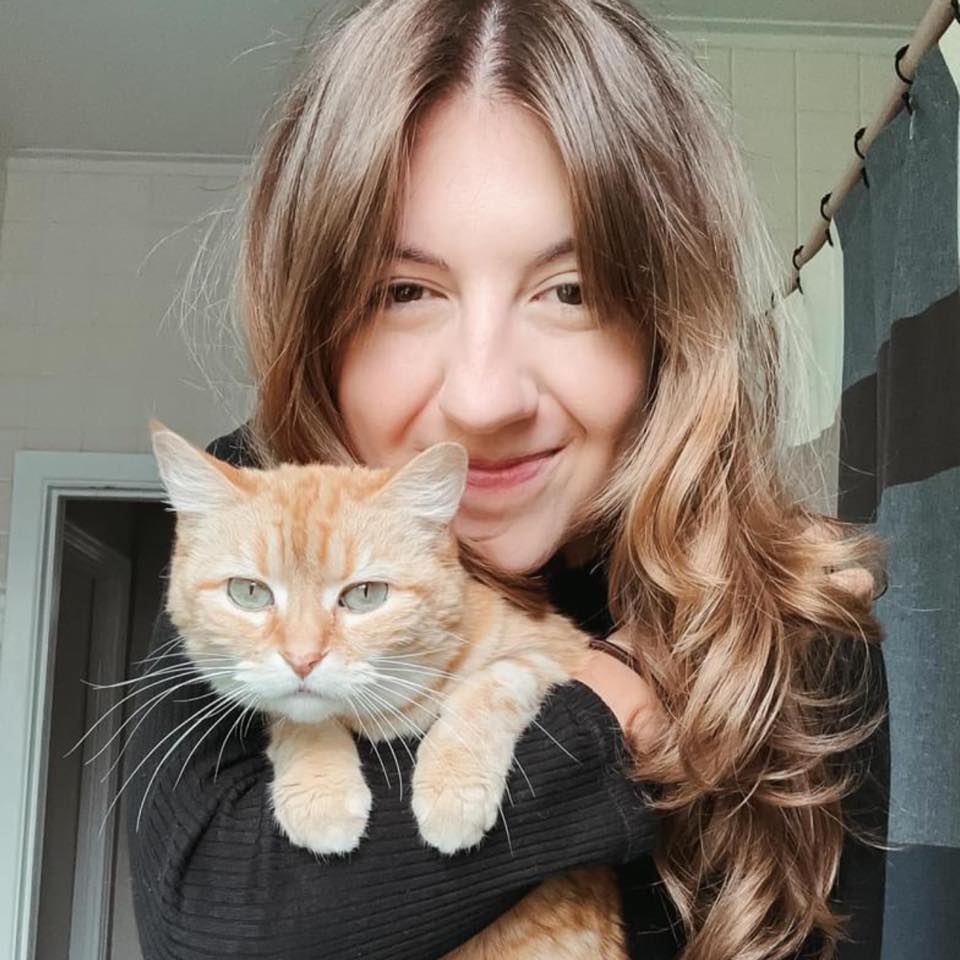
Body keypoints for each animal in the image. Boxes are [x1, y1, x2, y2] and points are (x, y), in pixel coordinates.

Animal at [148, 422, 632, 960]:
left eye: (365, 595)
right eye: (248, 592)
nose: (302, 659)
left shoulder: (554, 652)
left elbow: (491, 684)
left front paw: (452, 788)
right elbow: (298, 717)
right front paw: (321, 790)